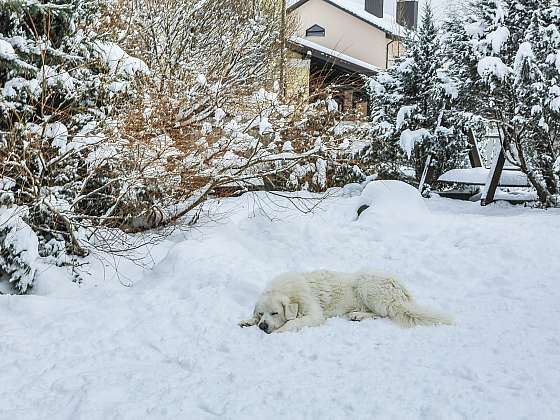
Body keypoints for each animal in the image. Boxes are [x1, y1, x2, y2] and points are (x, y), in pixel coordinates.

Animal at [238, 272, 452, 334]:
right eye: (261, 314)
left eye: (275, 313)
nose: (262, 326)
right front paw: (247, 321)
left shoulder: (314, 315)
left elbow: (294, 321)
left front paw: (281, 330)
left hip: (366, 285)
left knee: (383, 314)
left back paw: (358, 315)